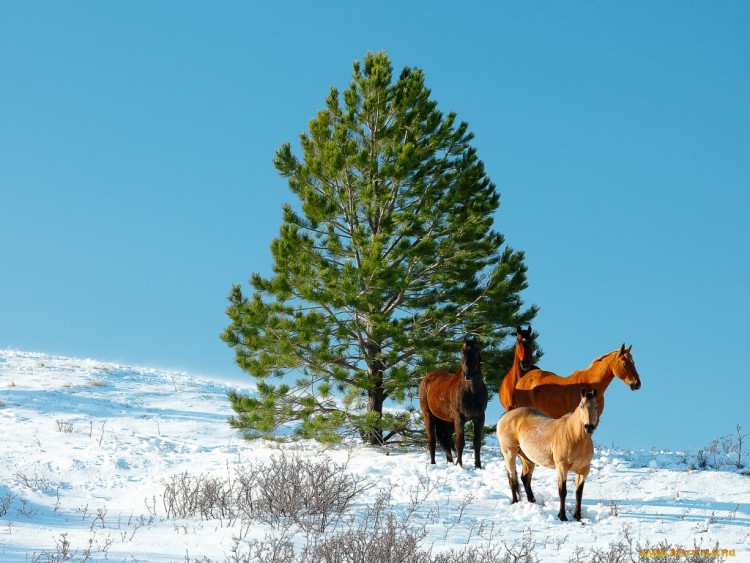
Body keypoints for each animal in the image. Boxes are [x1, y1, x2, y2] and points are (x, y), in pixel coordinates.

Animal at [420, 340, 490, 468]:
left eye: (476, 353)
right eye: (462, 353)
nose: (468, 375)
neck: (471, 392)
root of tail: (426, 378)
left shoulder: (479, 418)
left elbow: (477, 443)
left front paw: (478, 466)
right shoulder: (459, 418)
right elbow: (460, 442)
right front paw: (459, 464)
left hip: (445, 419)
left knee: (445, 438)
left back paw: (450, 461)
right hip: (429, 415)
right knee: (432, 440)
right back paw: (433, 464)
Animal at [502, 390, 604, 524]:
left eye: (596, 406)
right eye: (581, 406)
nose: (589, 427)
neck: (574, 437)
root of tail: (504, 417)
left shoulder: (584, 470)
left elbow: (579, 493)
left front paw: (578, 517)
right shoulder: (561, 467)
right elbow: (562, 491)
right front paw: (562, 516)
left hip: (528, 458)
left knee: (525, 478)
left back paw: (532, 501)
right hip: (509, 453)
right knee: (512, 478)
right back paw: (515, 502)